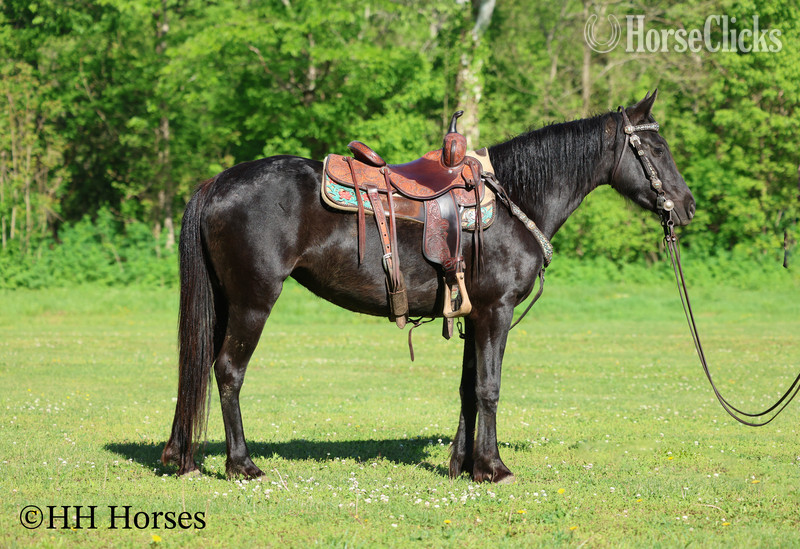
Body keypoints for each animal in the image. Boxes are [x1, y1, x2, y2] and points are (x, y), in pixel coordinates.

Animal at [161, 91, 696, 483]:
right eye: (657, 150)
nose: (687, 206)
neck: (515, 201)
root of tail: (216, 182)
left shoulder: (473, 315)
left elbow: (467, 388)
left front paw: (462, 464)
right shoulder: (497, 311)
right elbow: (489, 388)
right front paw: (493, 468)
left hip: (225, 303)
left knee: (199, 367)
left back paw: (183, 457)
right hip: (252, 301)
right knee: (228, 372)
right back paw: (241, 465)